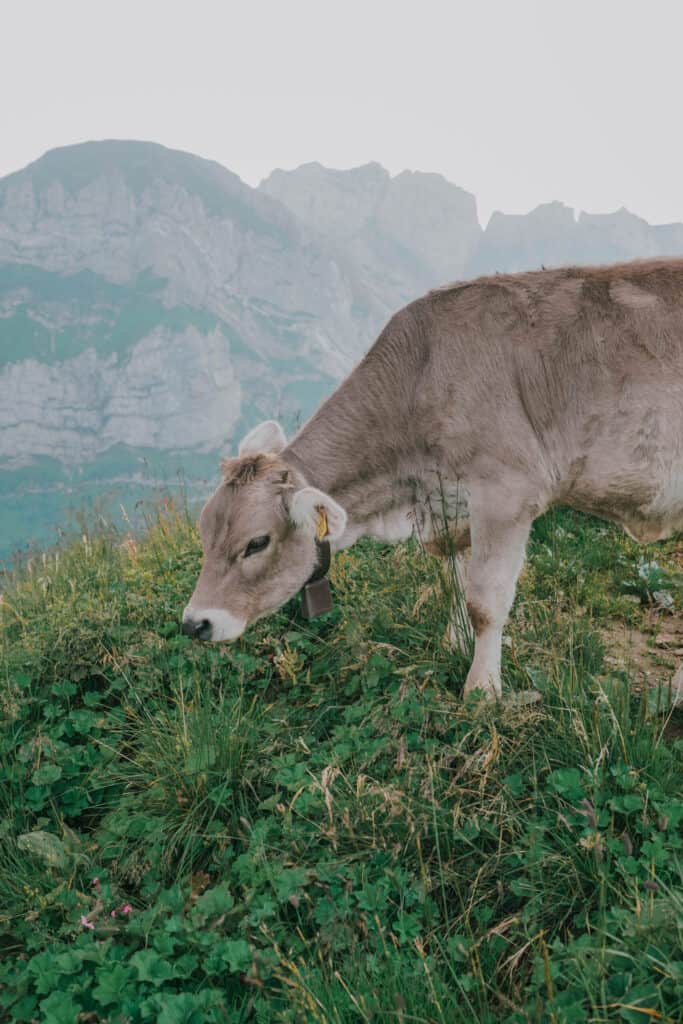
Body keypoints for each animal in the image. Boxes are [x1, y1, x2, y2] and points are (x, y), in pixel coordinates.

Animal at [181, 260, 683, 700]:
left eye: (257, 543)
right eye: (204, 533)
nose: (194, 623)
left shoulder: (507, 492)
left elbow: (486, 600)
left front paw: (482, 690)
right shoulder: (450, 501)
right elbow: (455, 575)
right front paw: (454, 643)